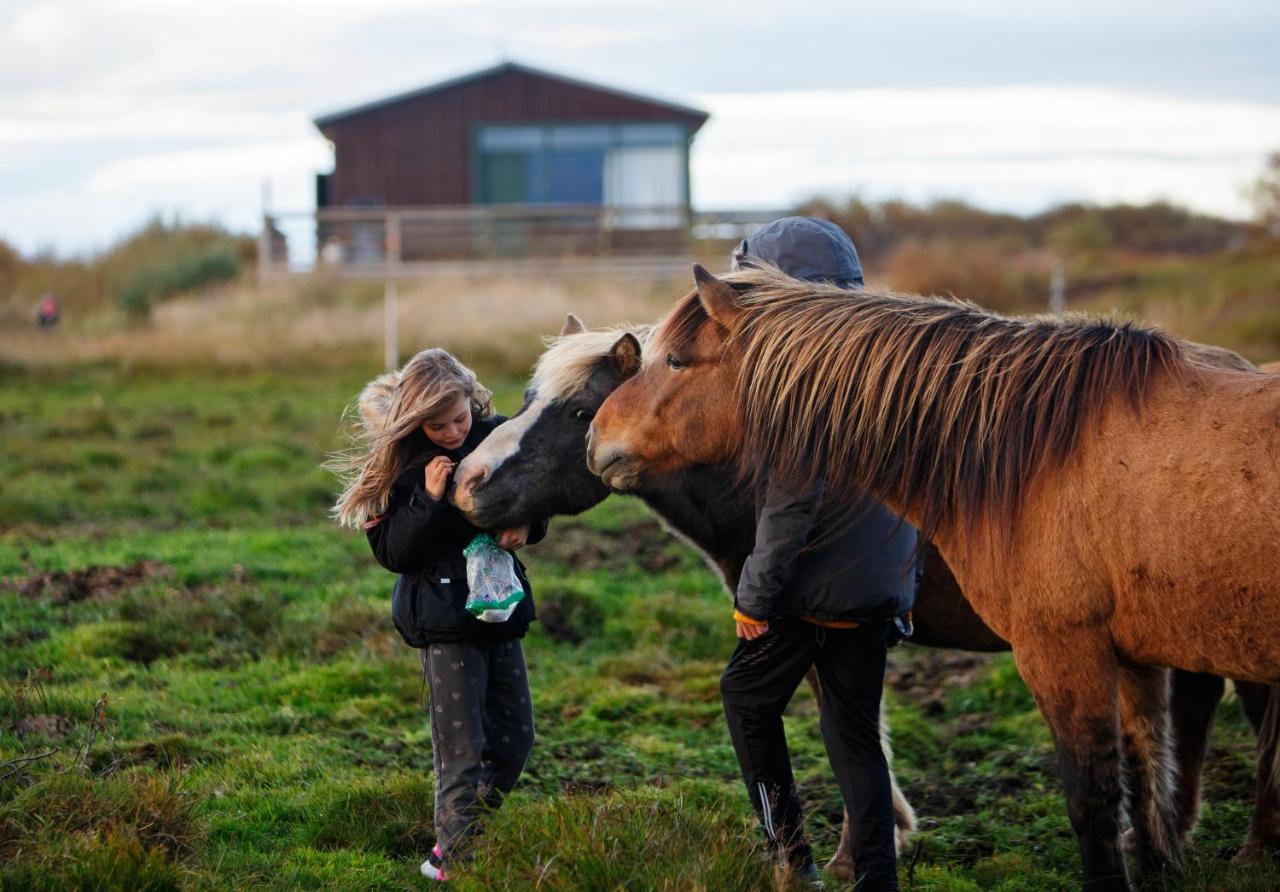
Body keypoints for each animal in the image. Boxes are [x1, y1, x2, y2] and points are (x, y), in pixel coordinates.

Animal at [588, 266, 1280, 890]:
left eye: (676, 361)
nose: (597, 437)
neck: (1032, 455)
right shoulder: (1133, 652)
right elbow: (1146, 764)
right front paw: (1162, 861)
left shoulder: (1064, 651)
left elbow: (1094, 798)